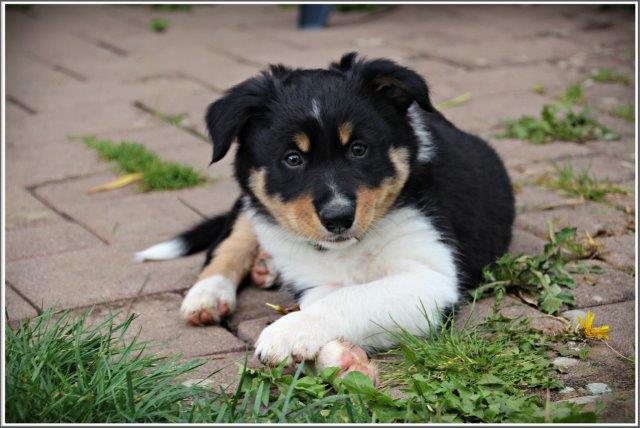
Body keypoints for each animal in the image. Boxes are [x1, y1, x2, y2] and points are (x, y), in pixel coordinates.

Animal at [135, 52, 515, 374]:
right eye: (292, 158)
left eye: (359, 149)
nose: (338, 218)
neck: (348, 251)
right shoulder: (316, 279)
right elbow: (329, 298)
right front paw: (329, 349)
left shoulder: (429, 273)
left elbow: (354, 297)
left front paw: (290, 335)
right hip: (248, 201)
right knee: (230, 239)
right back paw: (209, 295)